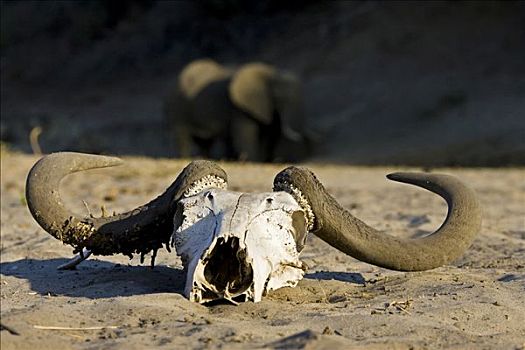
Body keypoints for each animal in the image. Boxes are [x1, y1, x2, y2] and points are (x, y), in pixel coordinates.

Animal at [164, 59, 312, 163]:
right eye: (280, 98)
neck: (271, 73)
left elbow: (270, 134)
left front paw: (266, 160)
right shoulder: (240, 109)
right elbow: (246, 137)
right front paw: (254, 162)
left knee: (205, 141)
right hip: (177, 106)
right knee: (183, 135)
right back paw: (185, 159)